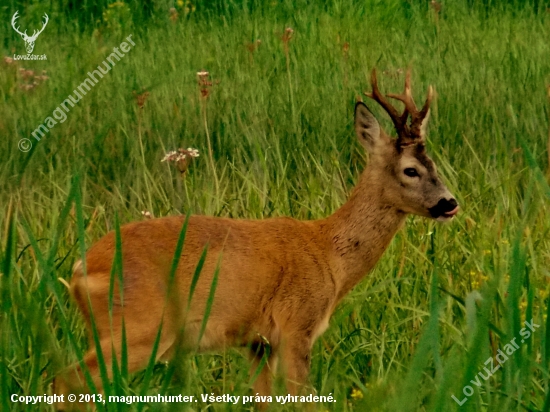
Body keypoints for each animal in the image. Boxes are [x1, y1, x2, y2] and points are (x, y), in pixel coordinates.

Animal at [55, 69, 462, 408]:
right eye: (410, 170)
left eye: (434, 164)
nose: (450, 203)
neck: (329, 254)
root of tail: (80, 269)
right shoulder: (297, 325)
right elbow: (305, 399)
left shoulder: (258, 343)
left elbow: (263, 401)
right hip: (137, 328)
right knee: (69, 380)